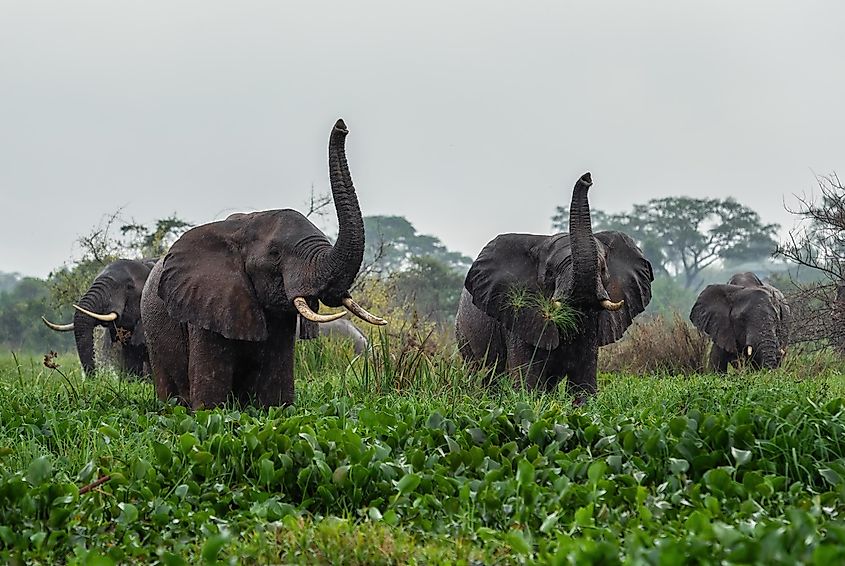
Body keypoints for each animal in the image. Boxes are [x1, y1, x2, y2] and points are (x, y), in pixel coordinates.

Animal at [142, 118, 386, 408]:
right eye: (275, 254)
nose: (341, 126)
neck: (242, 226)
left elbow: (275, 391)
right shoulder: (205, 305)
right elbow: (210, 396)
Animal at [454, 175, 652, 402]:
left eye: (602, 269)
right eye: (550, 273)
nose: (587, 178)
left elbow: (584, 379)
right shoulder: (518, 316)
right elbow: (527, 379)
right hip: (464, 335)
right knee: (485, 376)